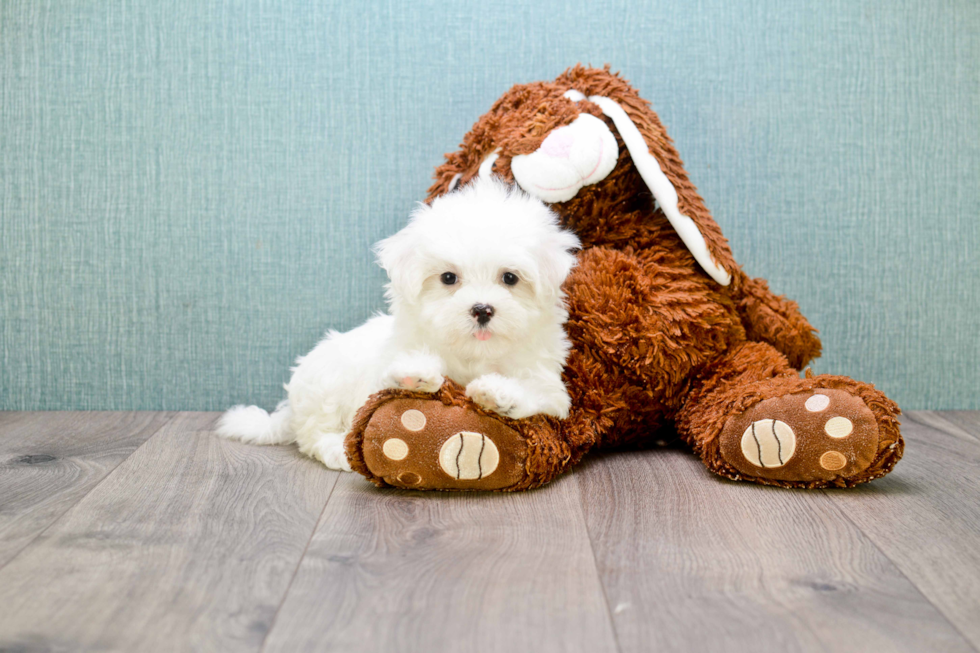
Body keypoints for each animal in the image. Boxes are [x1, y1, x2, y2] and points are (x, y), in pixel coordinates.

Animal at [218, 178, 580, 472]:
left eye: (510, 278)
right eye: (448, 278)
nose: (482, 309)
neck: (472, 354)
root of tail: (290, 409)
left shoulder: (549, 386)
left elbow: (538, 393)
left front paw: (498, 392)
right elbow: (388, 379)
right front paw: (414, 374)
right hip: (325, 383)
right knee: (313, 434)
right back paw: (336, 449)